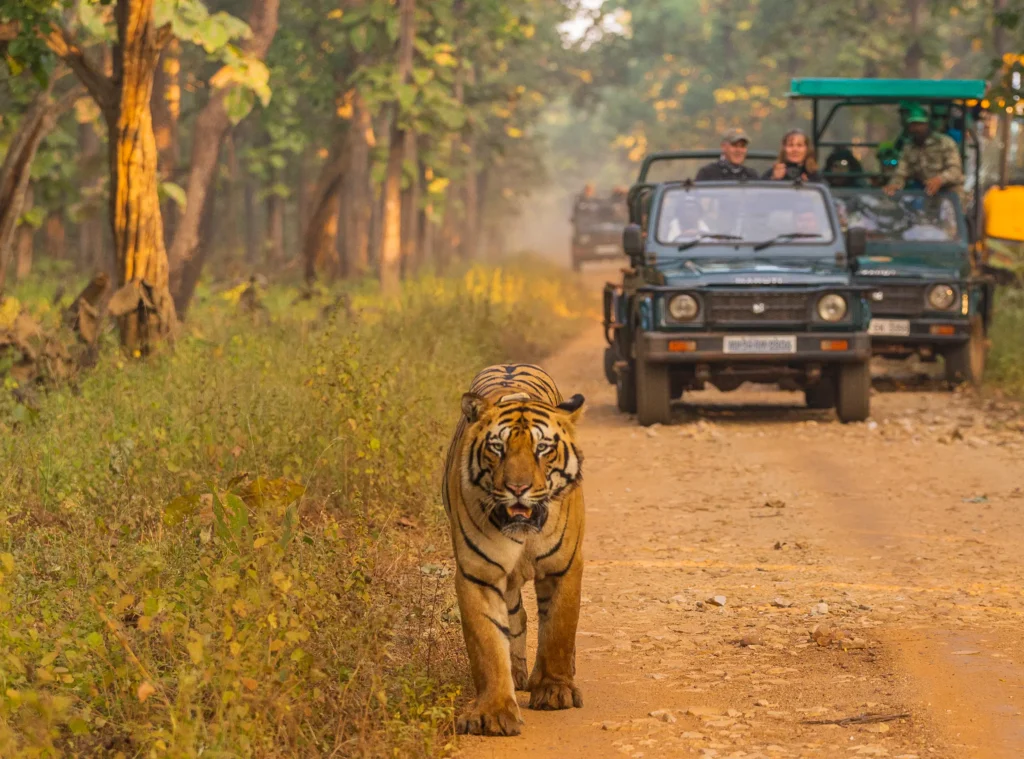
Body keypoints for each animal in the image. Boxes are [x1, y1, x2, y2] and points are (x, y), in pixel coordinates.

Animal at [440, 360, 585, 733]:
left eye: (543, 449)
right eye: (497, 448)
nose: (518, 488)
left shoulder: (564, 566)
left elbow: (559, 628)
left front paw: (555, 690)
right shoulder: (479, 573)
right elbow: (488, 645)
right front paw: (493, 713)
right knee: (517, 616)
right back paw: (519, 673)